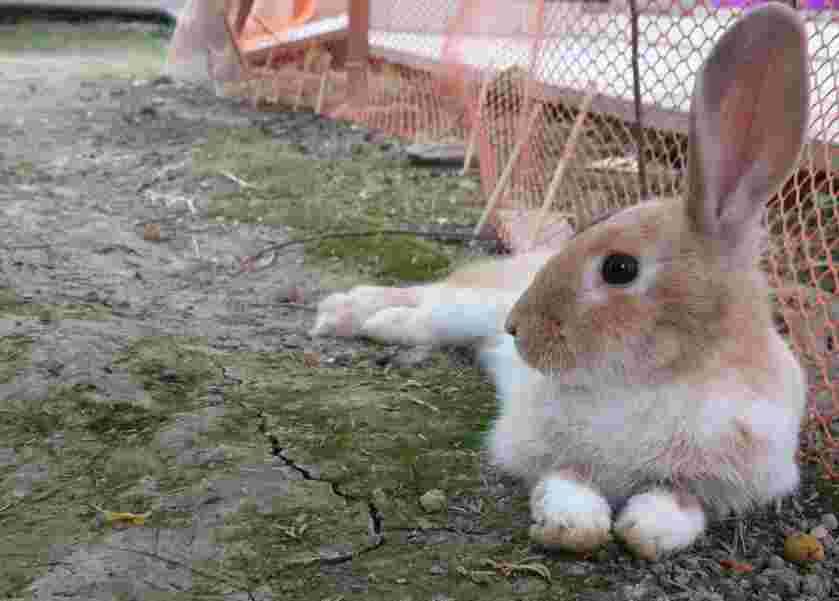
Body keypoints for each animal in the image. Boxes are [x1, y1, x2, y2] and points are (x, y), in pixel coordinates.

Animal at [310, 2, 810, 560]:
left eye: (619, 268)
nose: (516, 328)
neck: (664, 375)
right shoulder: (543, 449)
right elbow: (568, 483)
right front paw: (573, 525)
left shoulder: (723, 482)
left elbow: (678, 505)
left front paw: (646, 529)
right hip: (469, 304)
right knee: (428, 301)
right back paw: (352, 314)